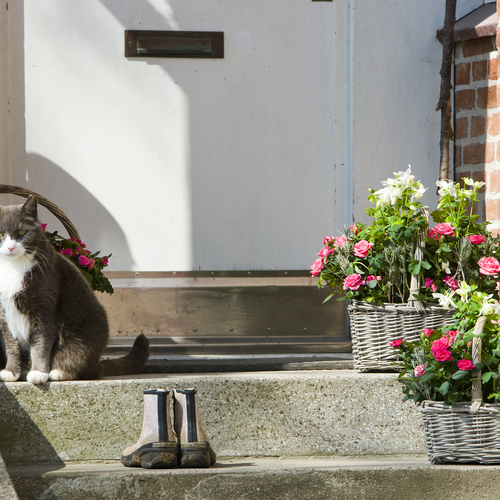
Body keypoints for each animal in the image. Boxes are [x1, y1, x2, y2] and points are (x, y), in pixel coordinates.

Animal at [0, 195, 148, 382]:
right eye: (0, 234)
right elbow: (10, 344)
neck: (11, 267)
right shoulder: (3, 313)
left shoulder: (44, 308)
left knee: (85, 366)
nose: (10, 247)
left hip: (86, 339)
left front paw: (39, 373)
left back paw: (58, 371)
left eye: (21, 233)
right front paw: (10, 371)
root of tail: (98, 362)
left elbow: (41, 342)